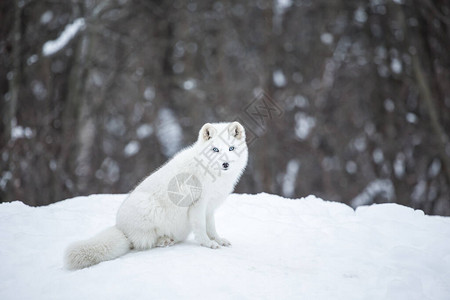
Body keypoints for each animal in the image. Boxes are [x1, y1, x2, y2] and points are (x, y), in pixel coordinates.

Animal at [63, 121, 248, 270]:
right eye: (215, 149)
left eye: (231, 148)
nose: (225, 164)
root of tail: (121, 229)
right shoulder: (198, 204)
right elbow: (202, 228)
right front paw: (208, 244)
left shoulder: (210, 207)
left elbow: (212, 228)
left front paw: (218, 240)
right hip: (149, 207)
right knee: (143, 243)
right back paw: (163, 241)